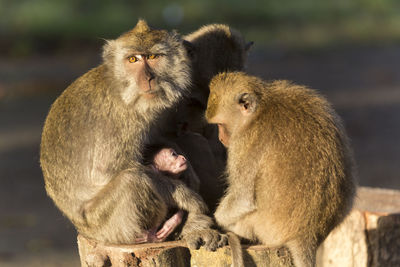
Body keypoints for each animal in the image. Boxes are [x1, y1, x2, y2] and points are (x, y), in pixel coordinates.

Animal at [206, 71, 356, 267]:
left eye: (220, 125)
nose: (221, 138)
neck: (261, 108)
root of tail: (307, 235)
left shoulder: (244, 142)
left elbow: (243, 198)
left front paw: (217, 220)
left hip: (261, 226)